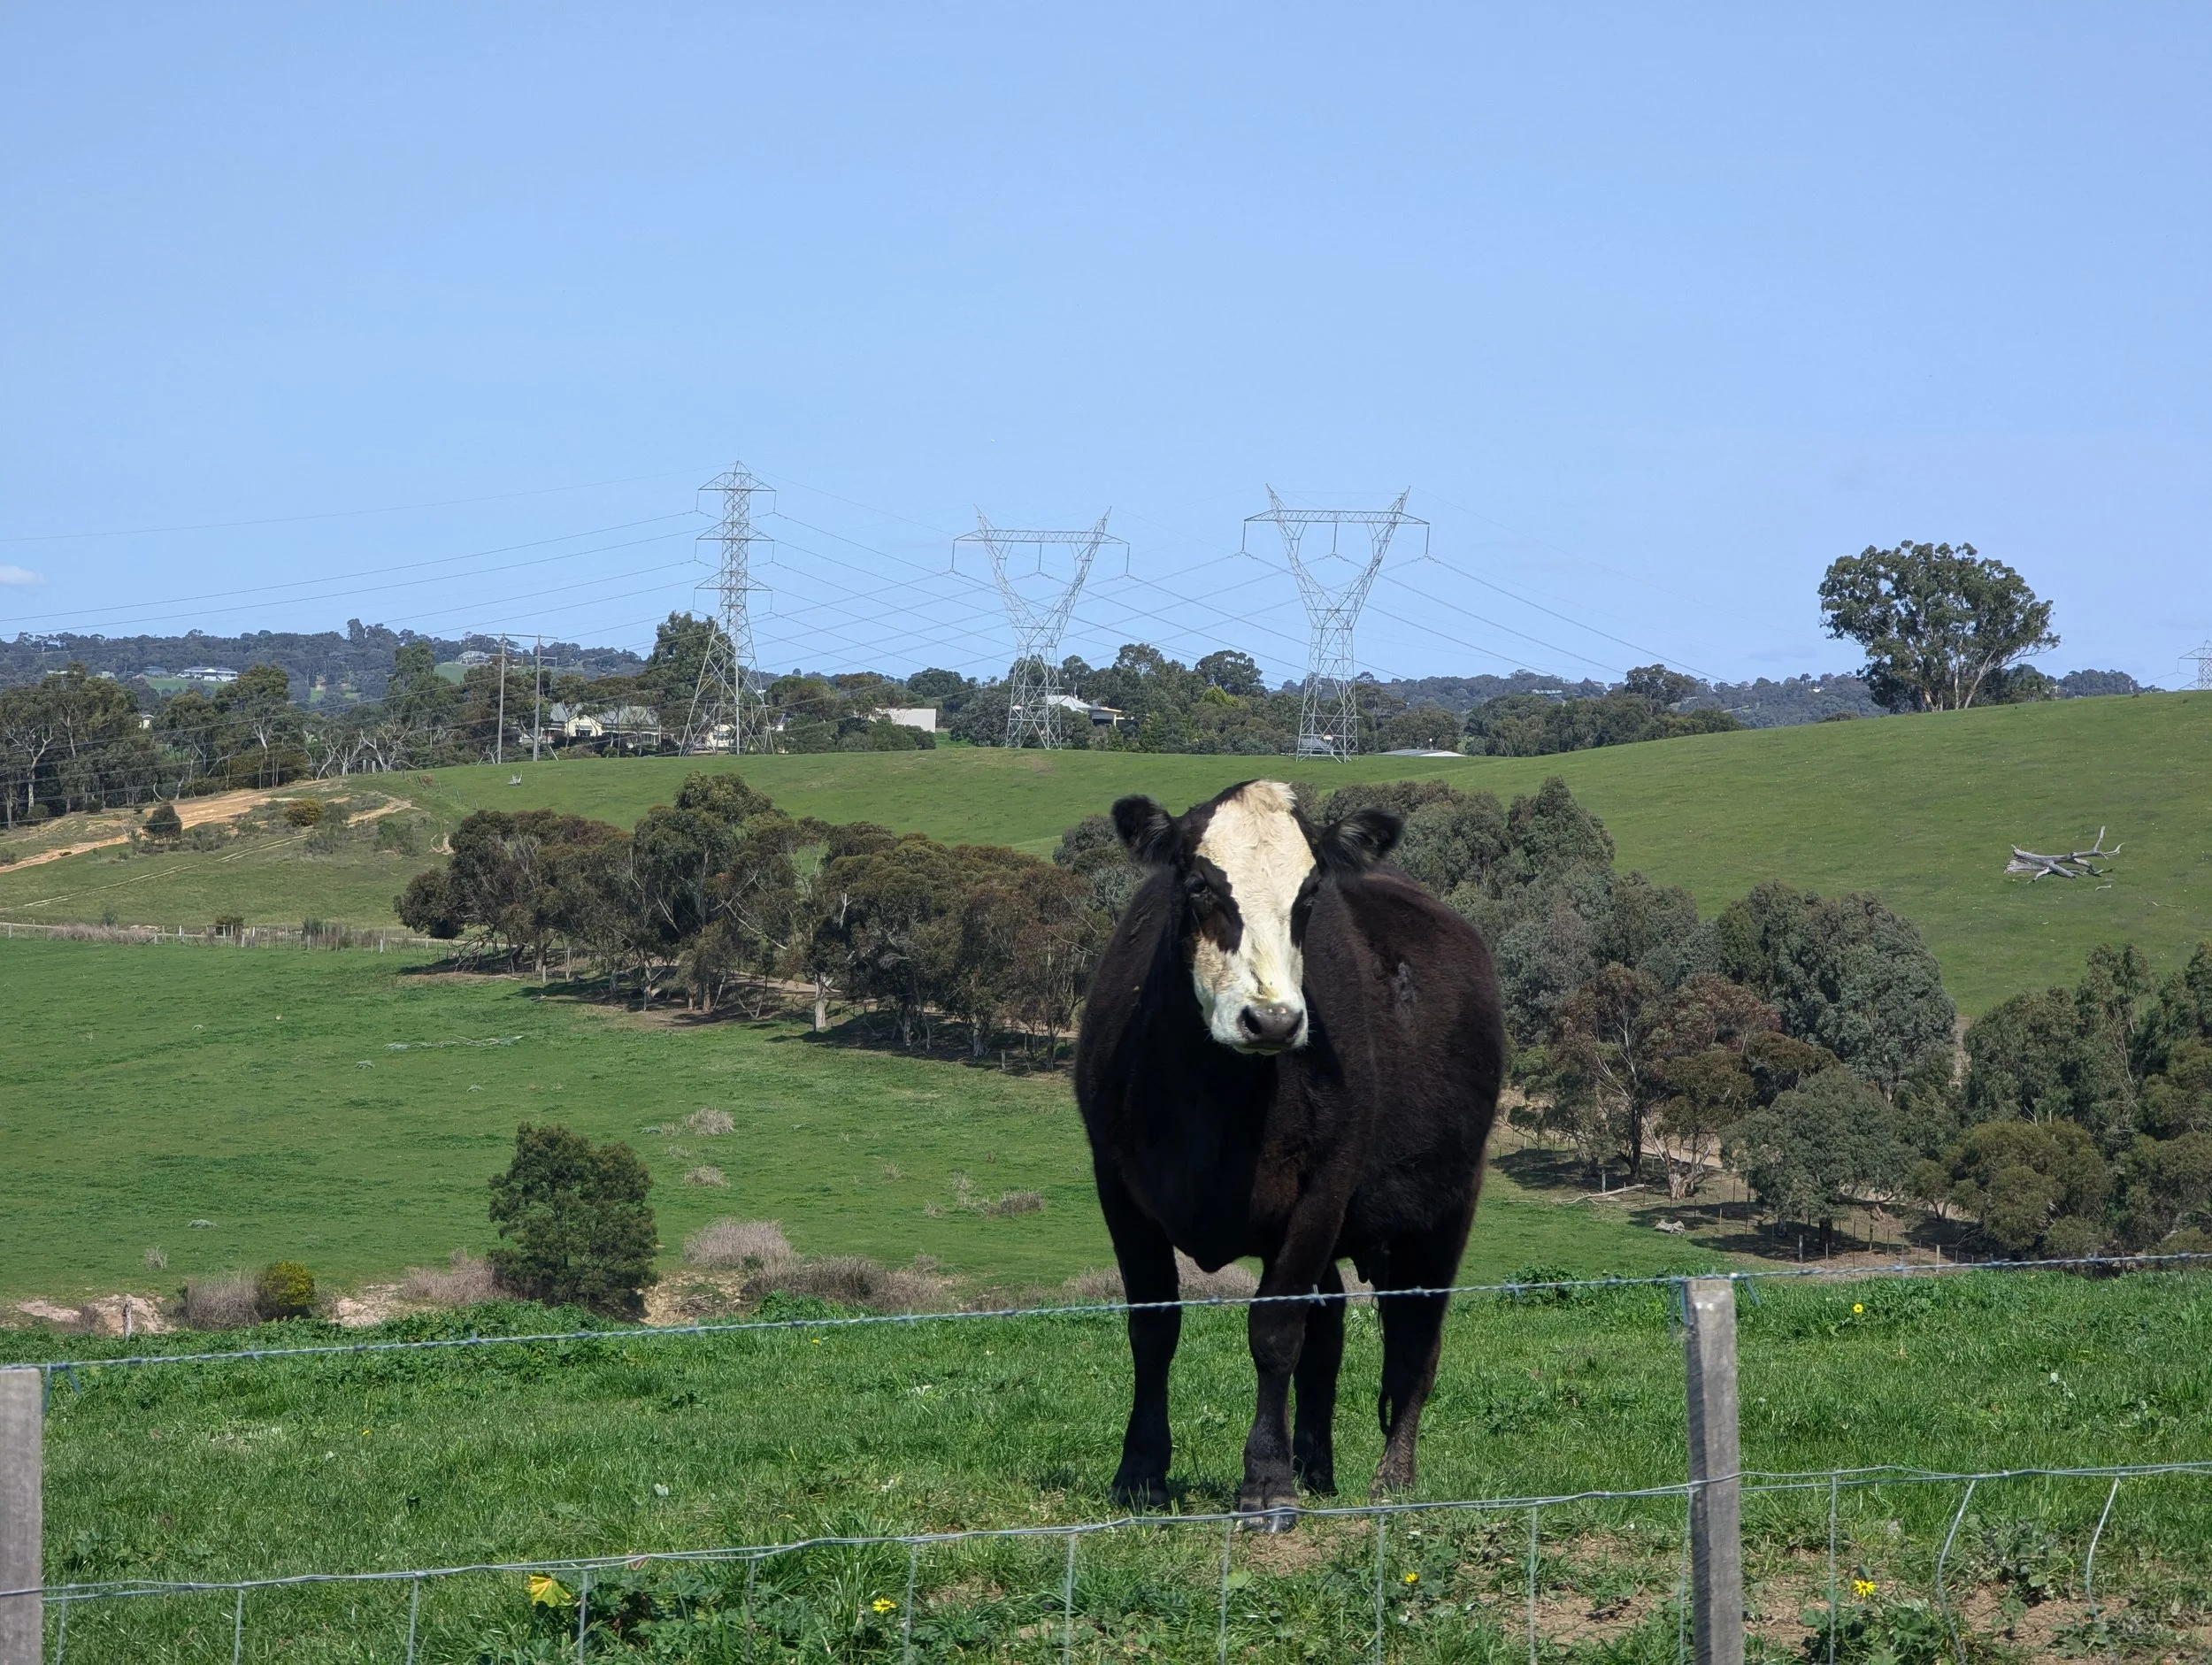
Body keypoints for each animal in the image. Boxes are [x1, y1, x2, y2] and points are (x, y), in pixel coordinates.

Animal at [1074, 779, 1505, 1526]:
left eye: (1309, 898)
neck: (1212, 1102)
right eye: (1199, 885)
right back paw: (1317, 1466)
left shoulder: (1323, 1190)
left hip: (1445, 1208)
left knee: (1415, 1341)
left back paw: (1392, 1480)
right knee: (1328, 1332)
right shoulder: (1119, 1189)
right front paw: (1141, 1473)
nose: (1272, 1020)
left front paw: (1267, 1483)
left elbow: (1275, 1330)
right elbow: (1154, 1330)